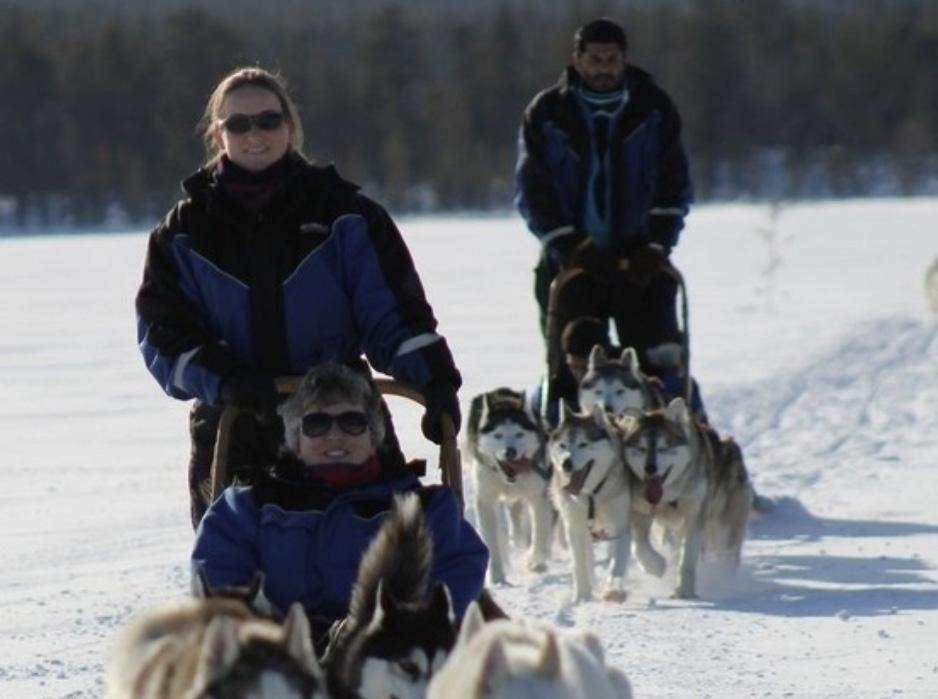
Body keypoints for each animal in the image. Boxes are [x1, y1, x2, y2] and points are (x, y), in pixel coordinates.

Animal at [465, 388, 554, 584]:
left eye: (519, 434)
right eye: (498, 435)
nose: (510, 451)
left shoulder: (538, 496)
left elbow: (539, 531)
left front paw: (536, 561)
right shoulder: (486, 500)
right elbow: (491, 540)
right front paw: (497, 575)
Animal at [547, 403, 633, 602]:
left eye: (583, 444)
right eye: (563, 445)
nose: (566, 463)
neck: (593, 494)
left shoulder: (621, 525)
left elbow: (618, 561)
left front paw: (613, 589)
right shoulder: (575, 526)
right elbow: (579, 565)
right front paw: (582, 596)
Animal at [618, 398, 753, 598]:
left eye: (663, 448)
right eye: (642, 448)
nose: (650, 468)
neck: (669, 495)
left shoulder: (694, 518)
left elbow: (687, 559)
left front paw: (684, 591)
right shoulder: (640, 510)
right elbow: (640, 546)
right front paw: (655, 566)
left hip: (724, 528)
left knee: (726, 554)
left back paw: (725, 582)